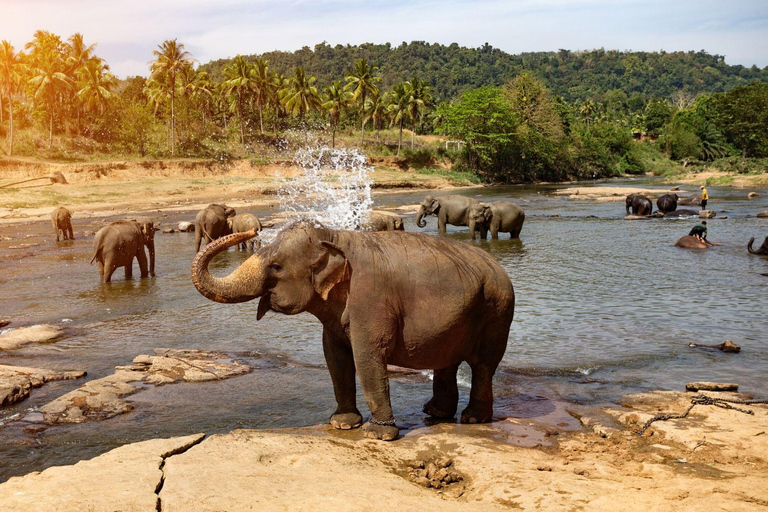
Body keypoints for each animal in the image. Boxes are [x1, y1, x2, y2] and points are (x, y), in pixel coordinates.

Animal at [192, 220, 516, 440]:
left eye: (276, 267)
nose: (251, 231)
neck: (334, 236)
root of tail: (499, 266)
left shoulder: (371, 298)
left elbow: (367, 356)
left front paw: (378, 434)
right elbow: (335, 358)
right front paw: (343, 424)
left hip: (497, 308)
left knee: (483, 364)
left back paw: (473, 419)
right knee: (447, 360)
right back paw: (435, 413)